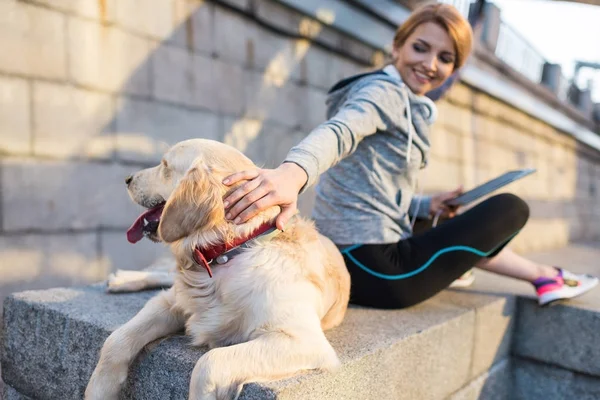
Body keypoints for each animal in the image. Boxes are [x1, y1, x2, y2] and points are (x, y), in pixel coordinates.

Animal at [83, 138, 352, 400]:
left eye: (165, 166)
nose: (127, 179)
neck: (227, 252)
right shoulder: (169, 302)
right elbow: (116, 339)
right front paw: (99, 390)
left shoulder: (303, 340)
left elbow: (208, 363)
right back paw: (123, 279)